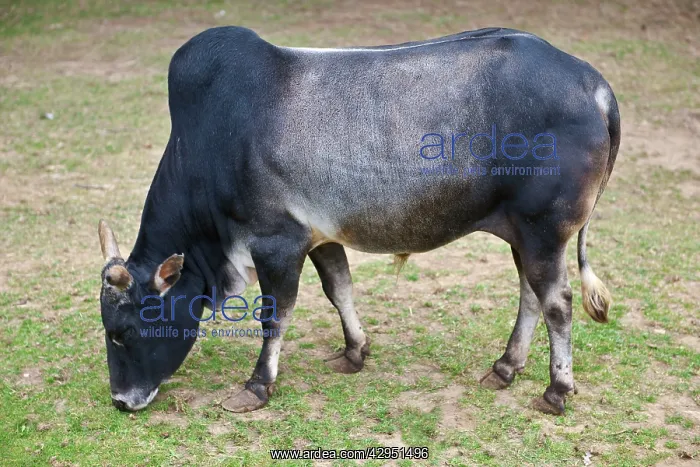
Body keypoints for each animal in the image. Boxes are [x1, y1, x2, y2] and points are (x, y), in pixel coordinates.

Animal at [97, 26, 620, 415]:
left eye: (123, 332)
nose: (121, 401)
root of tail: (593, 83)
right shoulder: (320, 236)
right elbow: (339, 289)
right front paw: (354, 351)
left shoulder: (276, 242)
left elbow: (275, 316)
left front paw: (257, 385)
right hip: (523, 234)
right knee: (531, 296)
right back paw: (505, 367)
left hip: (543, 230)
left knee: (558, 303)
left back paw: (556, 391)